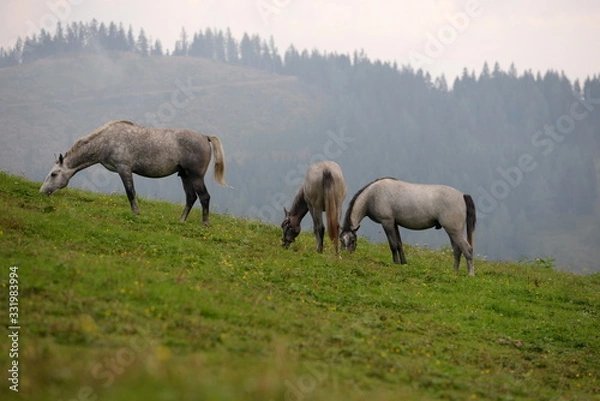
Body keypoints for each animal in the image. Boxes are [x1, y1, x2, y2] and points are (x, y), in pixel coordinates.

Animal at [39, 119, 227, 225]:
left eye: (54, 174)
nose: (42, 192)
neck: (107, 140)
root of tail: (205, 137)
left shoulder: (124, 169)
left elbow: (130, 192)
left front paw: (136, 213)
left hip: (195, 176)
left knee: (204, 197)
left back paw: (205, 223)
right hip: (185, 176)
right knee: (191, 197)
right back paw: (181, 221)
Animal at [340, 178, 476, 276]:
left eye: (352, 240)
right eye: (341, 240)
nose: (345, 256)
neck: (373, 194)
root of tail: (462, 195)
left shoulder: (387, 222)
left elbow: (393, 245)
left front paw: (395, 263)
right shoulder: (394, 223)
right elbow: (399, 244)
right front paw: (403, 263)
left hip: (454, 231)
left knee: (467, 249)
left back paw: (470, 274)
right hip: (452, 231)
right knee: (457, 250)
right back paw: (454, 271)